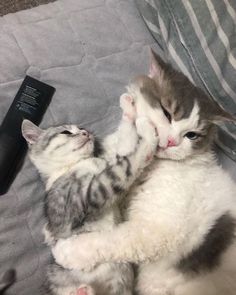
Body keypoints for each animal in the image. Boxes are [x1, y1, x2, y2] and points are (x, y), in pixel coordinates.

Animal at [21, 94, 159, 295]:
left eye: (82, 129)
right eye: (66, 132)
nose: (86, 133)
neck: (78, 164)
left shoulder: (113, 163)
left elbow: (126, 142)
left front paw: (128, 108)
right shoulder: (83, 199)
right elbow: (128, 164)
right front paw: (148, 134)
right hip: (56, 274)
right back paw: (82, 290)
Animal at [52, 51, 236, 295]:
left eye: (191, 135)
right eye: (167, 114)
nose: (172, 142)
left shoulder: (155, 231)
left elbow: (113, 241)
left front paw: (69, 251)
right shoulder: (118, 173)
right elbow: (125, 147)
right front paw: (130, 109)